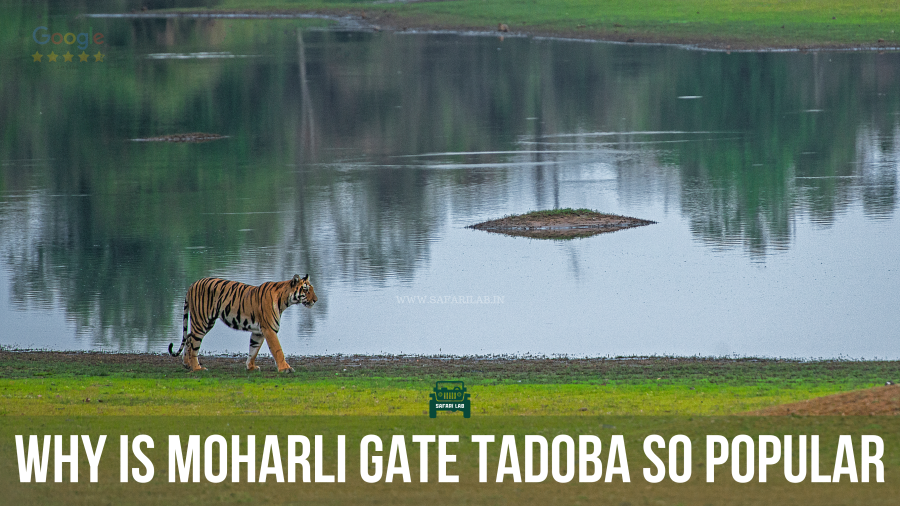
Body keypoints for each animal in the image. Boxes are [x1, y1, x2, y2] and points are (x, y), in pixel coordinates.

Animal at [168, 274, 316, 374]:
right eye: (306, 290)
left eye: (312, 289)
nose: (316, 300)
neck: (284, 300)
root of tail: (192, 284)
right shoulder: (269, 329)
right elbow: (277, 350)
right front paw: (285, 368)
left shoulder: (258, 332)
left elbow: (253, 350)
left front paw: (251, 367)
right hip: (201, 321)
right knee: (194, 344)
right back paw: (197, 368)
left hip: (207, 322)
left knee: (188, 338)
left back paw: (187, 364)